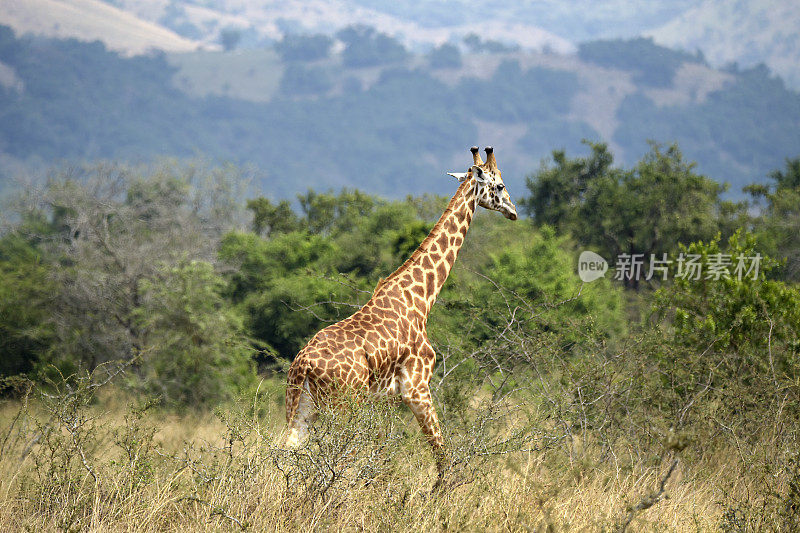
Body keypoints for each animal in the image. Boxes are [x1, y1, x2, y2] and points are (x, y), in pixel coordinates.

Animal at [284, 144, 516, 474]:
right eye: (500, 186)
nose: (514, 211)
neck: (422, 298)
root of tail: (302, 364)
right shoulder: (417, 386)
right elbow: (441, 453)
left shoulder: (386, 397)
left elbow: (383, 456)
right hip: (343, 404)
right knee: (336, 457)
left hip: (300, 404)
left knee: (285, 452)